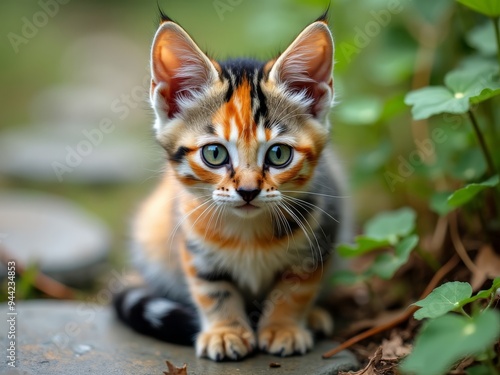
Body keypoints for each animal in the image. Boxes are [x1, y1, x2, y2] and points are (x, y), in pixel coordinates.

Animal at [114, 13, 352, 362]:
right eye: (215, 154)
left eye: (278, 155)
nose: (249, 190)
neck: (249, 235)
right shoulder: (195, 247)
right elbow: (213, 289)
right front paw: (225, 332)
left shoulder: (319, 238)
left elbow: (295, 289)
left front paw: (283, 327)